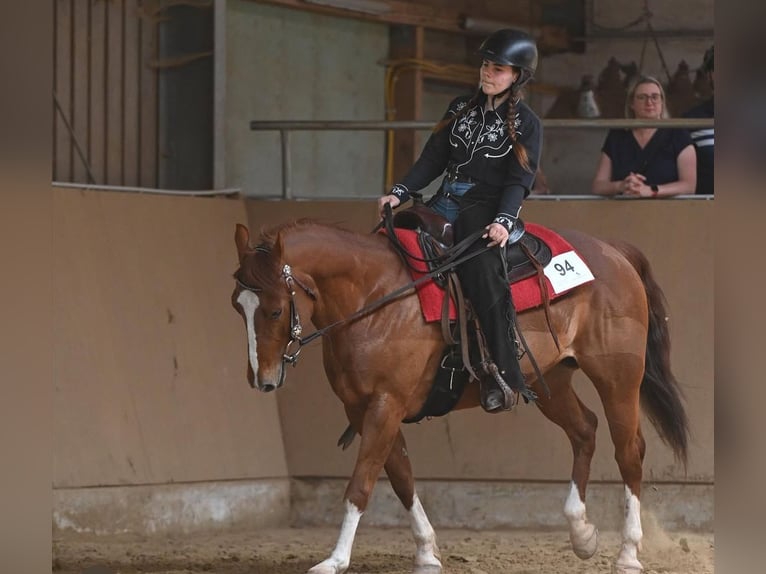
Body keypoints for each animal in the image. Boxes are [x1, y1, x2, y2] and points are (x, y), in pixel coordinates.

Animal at [231, 220, 692, 574]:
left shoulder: (385, 404)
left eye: (275, 309)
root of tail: (613, 252)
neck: (372, 300)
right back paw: (581, 534)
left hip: (618, 378)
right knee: (584, 431)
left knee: (629, 451)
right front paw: (427, 552)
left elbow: (362, 483)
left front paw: (335, 560)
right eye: (238, 306)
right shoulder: (365, 409)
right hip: (551, 380)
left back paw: (628, 554)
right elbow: (401, 478)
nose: (262, 379)